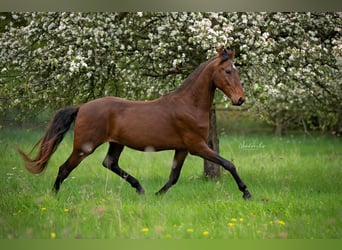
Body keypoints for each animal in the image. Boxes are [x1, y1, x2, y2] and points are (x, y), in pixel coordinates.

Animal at [18, 46, 251, 199]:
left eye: (237, 70)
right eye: (228, 71)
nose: (240, 99)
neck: (189, 105)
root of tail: (81, 107)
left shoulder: (183, 148)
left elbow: (174, 176)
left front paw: (158, 195)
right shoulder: (197, 146)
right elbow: (228, 164)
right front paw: (246, 192)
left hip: (116, 143)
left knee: (109, 163)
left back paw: (140, 188)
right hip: (85, 147)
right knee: (64, 168)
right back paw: (53, 196)